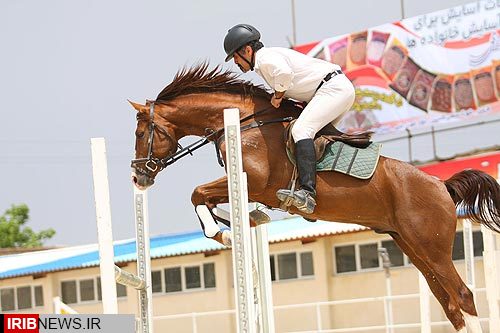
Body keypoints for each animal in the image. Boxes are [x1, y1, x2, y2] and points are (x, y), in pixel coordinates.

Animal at [130, 62, 500, 330]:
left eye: (140, 132)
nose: (138, 176)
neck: (246, 123)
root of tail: (442, 185)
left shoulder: (257, 181)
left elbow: (197, 194)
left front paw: (222, 233)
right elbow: (205, 199)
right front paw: (233, 224)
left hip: (431, 247)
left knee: (462, 296)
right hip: (413, 247)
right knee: (449, 303)